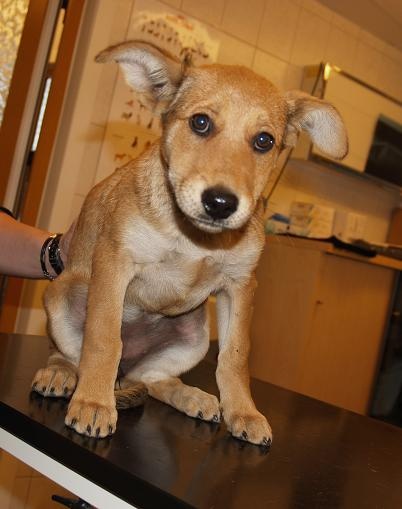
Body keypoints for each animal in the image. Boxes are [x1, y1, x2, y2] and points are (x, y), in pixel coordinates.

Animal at [32, 41, 347, 446]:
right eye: (200, 122)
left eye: (264, 141)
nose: (220, 203)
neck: (196, 239)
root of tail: (126, 372)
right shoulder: (114, 264)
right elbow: (103, 340)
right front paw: (93, 404)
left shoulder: (241, 286)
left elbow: (235, 357)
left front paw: (243, 412)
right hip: (62, 295)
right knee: (72, 353)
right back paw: (63, 375)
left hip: (194, 334)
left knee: (153, 379)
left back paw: (190, 396)